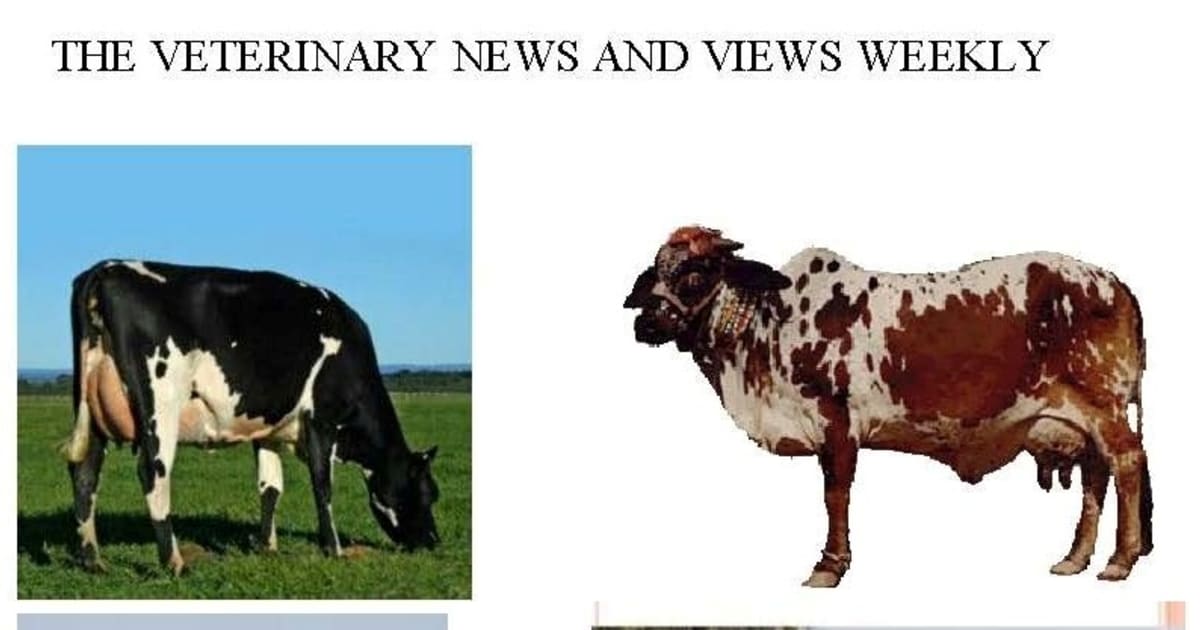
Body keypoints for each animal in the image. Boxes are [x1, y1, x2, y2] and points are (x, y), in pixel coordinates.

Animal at [62, 260, 440, 575]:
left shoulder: (267, 430)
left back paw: (93, 560)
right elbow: (322, 485)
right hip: (161, 402)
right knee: (153, 472)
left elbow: (270, 487)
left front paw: (268, 547)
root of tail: (106, 268)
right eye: (427, 493)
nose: (434, 542)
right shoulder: (321, 418)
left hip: (89, 409)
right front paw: (334, 549)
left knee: (84, 472)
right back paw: (175, 562)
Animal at [623, 226, 1151, 587]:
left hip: (1104, 407)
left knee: (1126, 463)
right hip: (1080, 420)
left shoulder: (837, 425)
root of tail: (1117, 283)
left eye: (696, 273)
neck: (768, 327)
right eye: (656, 270)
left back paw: (1119, 561)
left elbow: (836, 495)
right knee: (1095, 475)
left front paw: (829, 567)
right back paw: (1074, 558)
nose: (644, 325)